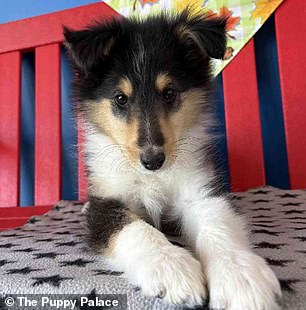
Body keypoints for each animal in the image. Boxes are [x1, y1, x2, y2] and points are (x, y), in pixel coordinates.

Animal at [63, 10, 280, 310]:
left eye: (169, 93)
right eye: (120, 98)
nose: (153, 160)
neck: (153, 177)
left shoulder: (199, 191)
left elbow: (217, 225)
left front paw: (241, 278)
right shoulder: (107, 202)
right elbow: (135, 228)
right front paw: (172, 268)